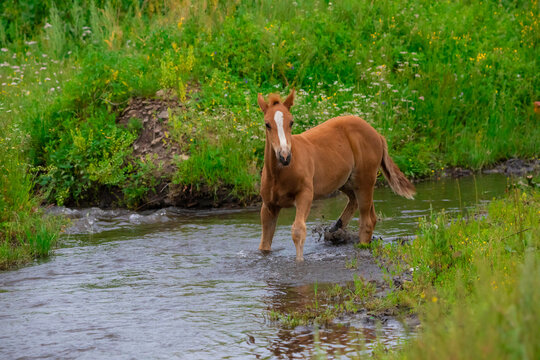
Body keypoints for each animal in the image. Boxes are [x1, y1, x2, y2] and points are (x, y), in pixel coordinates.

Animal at [260, 89, 416, 262]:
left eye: (291, 122)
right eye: (267, 124)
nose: (285, 156)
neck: (280, 173)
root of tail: (378, 134)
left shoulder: (305, 196)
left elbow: (298, 231)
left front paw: (299, 262)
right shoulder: (268, 206)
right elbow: (265, 243)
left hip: (365, 180)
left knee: (367, 221)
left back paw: (358, 246)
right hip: (347, 182)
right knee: (362, 207)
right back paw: (335, 228)